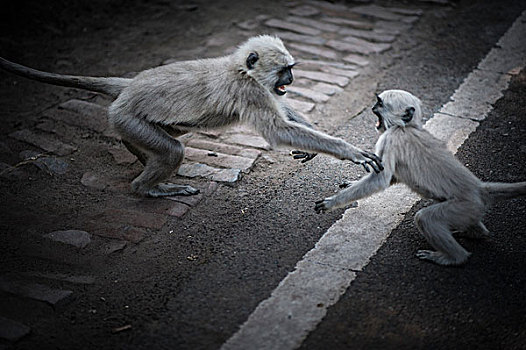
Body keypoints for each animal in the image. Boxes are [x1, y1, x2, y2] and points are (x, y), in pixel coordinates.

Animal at [0, 36, 382, 198]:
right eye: (285, 70)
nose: (290, 79)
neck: (239, 68)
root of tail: (130, 85)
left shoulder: (259, 90)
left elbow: (282, 113)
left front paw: (313, 138)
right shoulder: (248, 90)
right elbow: (276, 130)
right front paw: (347, 150)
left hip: (128, 119)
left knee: (167, 137)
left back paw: (136, 154)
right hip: (125, 115)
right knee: (172, 150)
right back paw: (146, 189)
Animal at [318, 89, 526, 266]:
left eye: (380, 103)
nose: (372, 107)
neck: (407, 127)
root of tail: (479, 189)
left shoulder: (391, 137)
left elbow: (381, 179)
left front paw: (332, 202)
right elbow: (392, 177)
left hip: (465, 206)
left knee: (426, 219)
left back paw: (453, 258)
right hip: (470, 210)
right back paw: (476, 232)